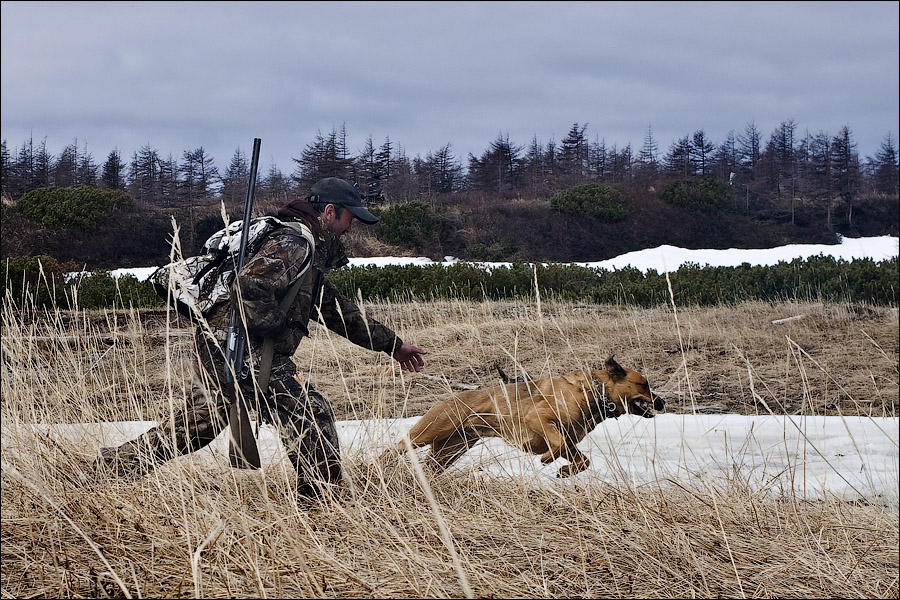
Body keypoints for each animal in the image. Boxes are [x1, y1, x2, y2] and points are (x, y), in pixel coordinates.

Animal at [384, 356, 664, 478]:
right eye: (644, 384)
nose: (662, 402)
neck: (595, 393)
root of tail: (448, 399)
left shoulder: (571, 442)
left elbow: (583, 460)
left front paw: (566, 471)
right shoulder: (539, 418)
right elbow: (556, 443)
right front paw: (547, 459)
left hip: (449, 450)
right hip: (429, 432)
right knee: (392, 450)